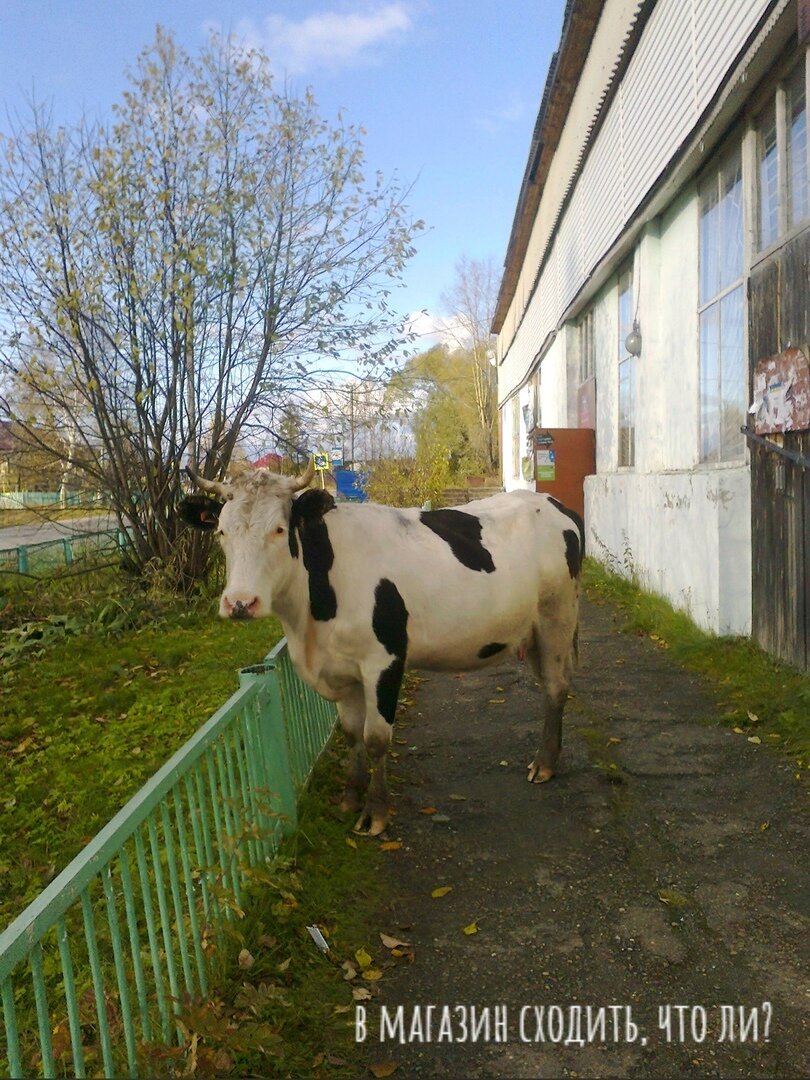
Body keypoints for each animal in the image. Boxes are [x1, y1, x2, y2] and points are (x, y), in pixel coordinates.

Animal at [179, 461, 583, 836]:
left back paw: (545, 764)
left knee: (557, 687)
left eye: (279, 530)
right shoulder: (341, 669)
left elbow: (375, 738)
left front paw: (375, 812)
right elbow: (351, 733)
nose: (240, 603)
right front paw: (349, 798)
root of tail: (553, 503)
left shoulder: (384, 662)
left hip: (557, 619)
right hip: (532, 632)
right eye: (222, 531)